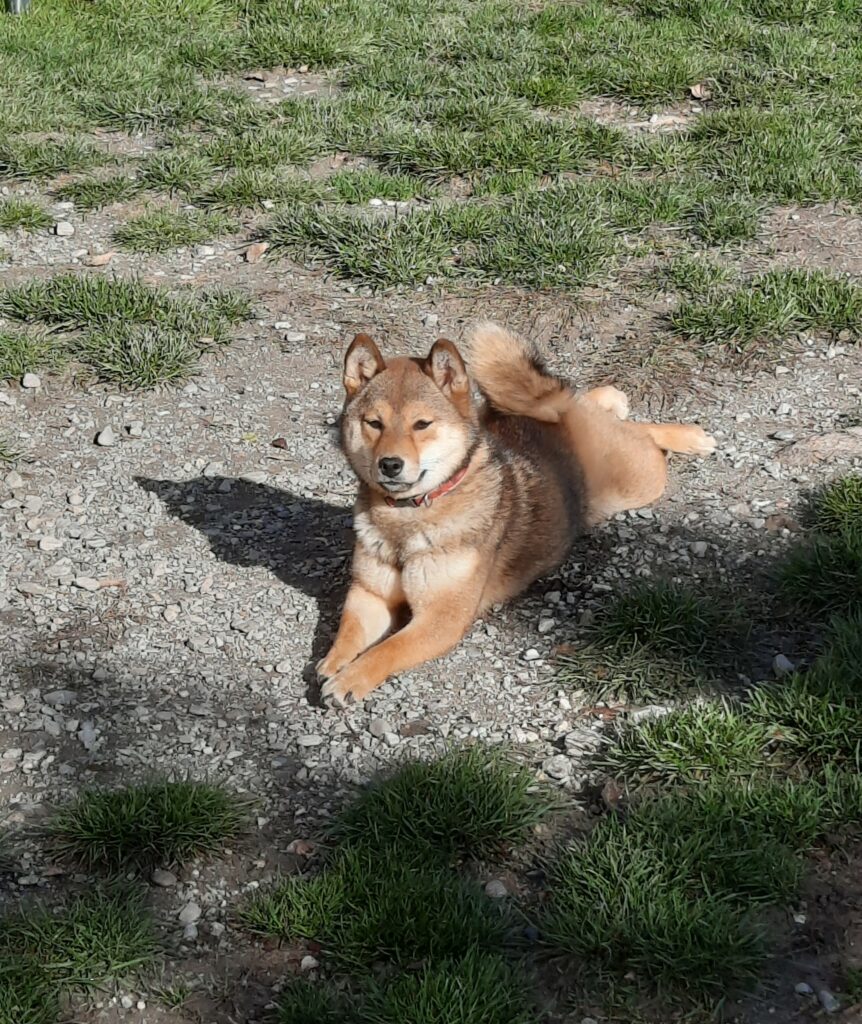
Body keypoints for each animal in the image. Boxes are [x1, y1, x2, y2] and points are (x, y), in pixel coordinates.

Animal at [315, 323, 712, 708]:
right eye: (374, 423)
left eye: (421, 424)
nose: (390, 464)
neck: (408, 517)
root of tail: (556, 414)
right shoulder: (369, 593)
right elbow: (348, 632)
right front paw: (332, 663)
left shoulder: (440, 618)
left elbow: (386, 650)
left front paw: (350, 679)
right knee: (585, 401)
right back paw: (611, 399)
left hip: (638, 479)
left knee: (644, 437)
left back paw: (691, 437)